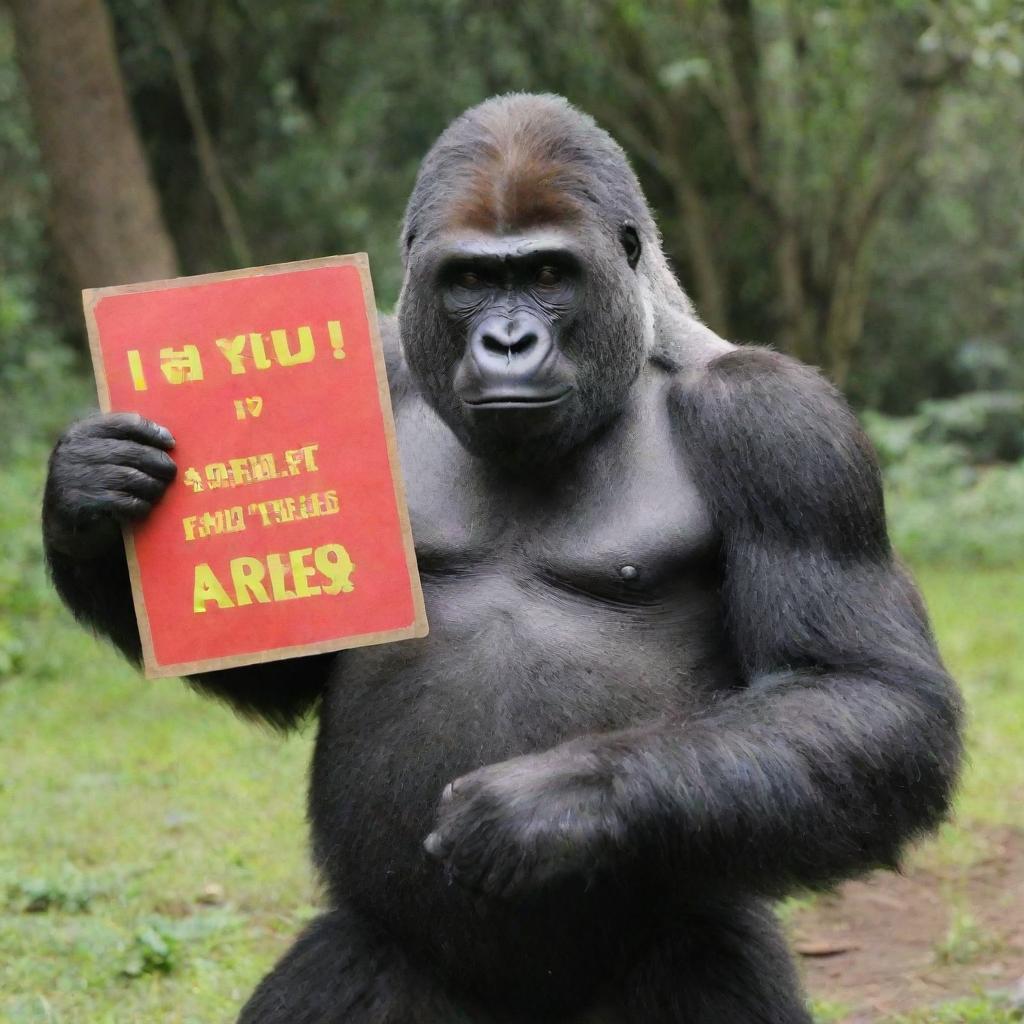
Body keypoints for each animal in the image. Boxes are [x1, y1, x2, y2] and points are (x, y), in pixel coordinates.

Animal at [41, 96, 958, 1024]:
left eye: (549, 274)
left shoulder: (788, 431)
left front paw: (557, 804)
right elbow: (289, 664)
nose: (508, 342)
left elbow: (865, 691)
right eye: (472, 282)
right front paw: (86, 497)